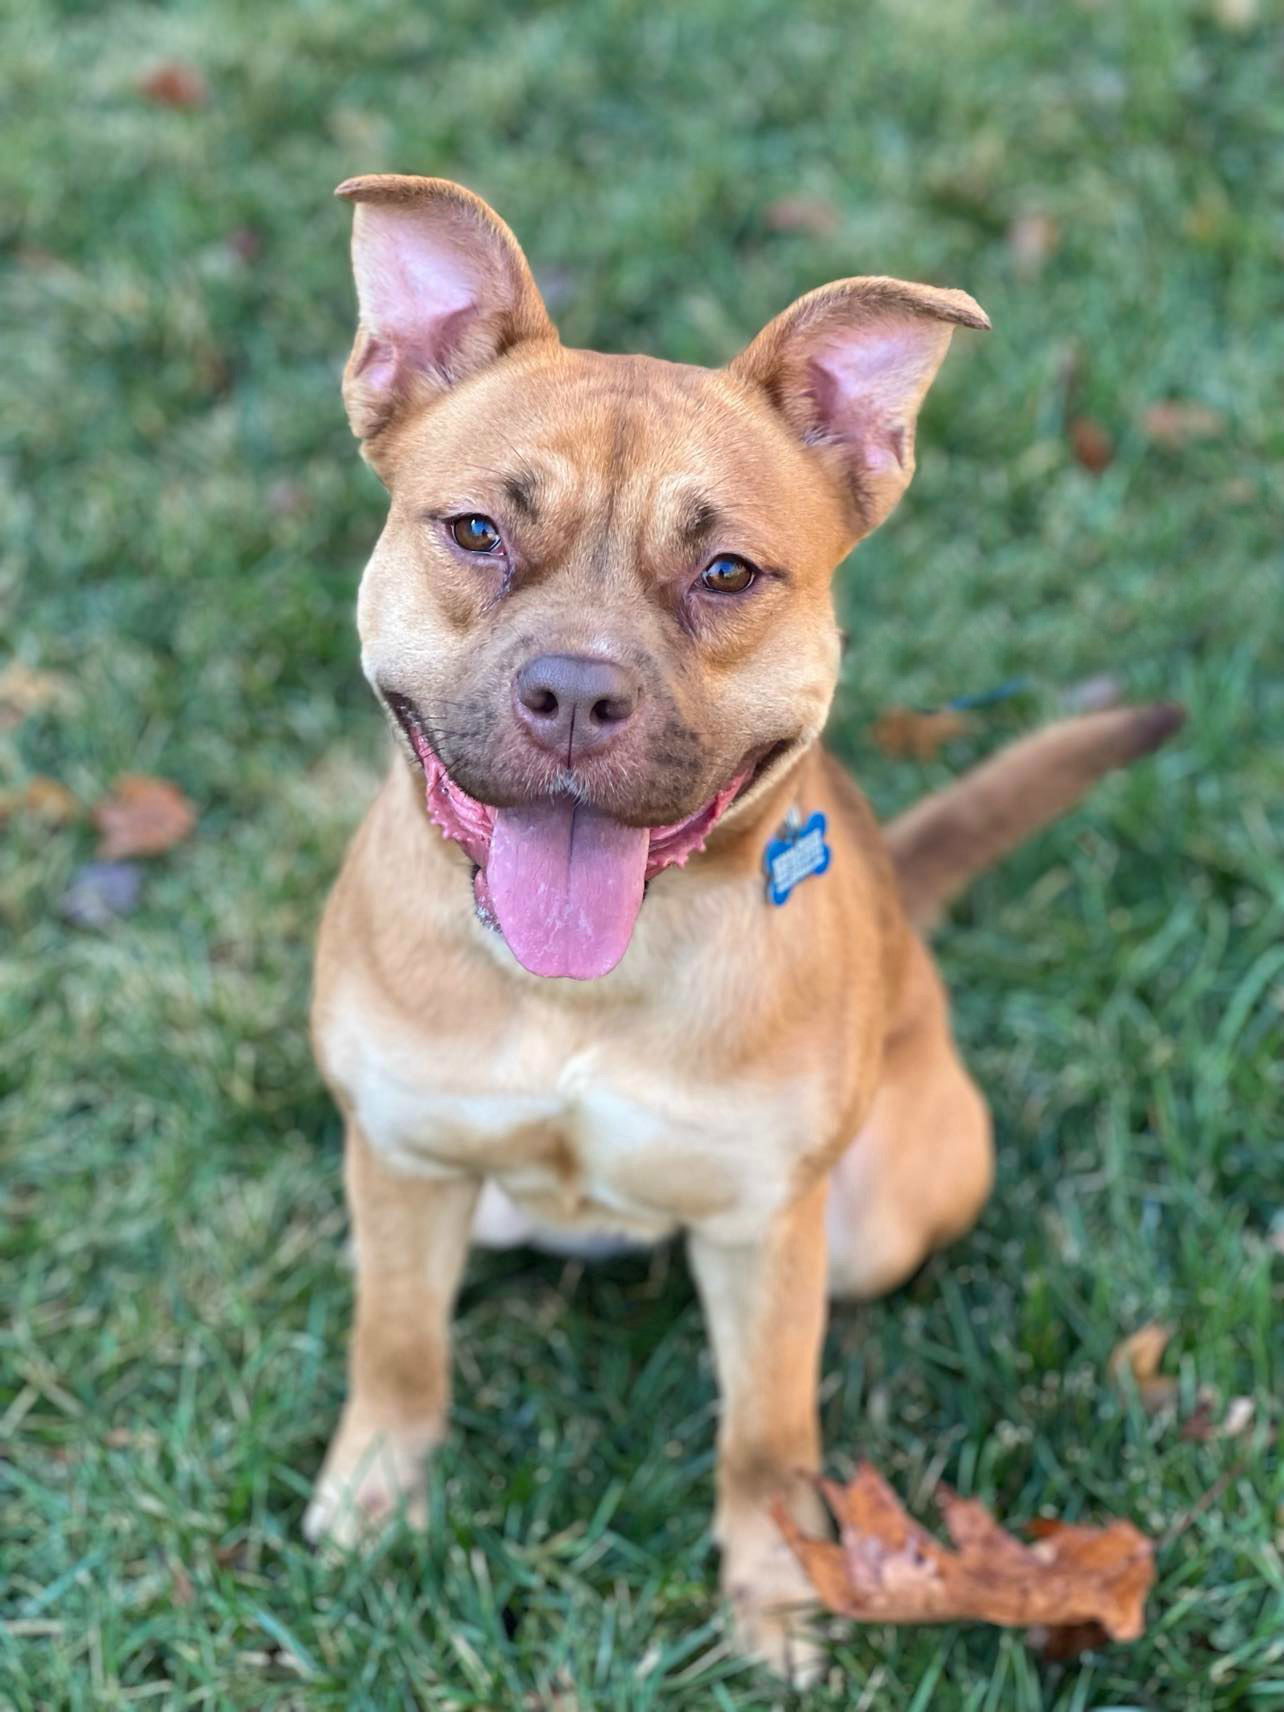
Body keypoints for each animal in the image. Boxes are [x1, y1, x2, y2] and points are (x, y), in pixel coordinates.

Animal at [304, 173, 1184, 1670]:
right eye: (476, 531)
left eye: (724, 572)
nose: (574, 696)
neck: (581, 992)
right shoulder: (408, 1157)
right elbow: (397, 1347)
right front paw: (374, 1498)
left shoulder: (770, 1226)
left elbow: (769, 1442)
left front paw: (779, 1597)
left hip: (875, 1212)